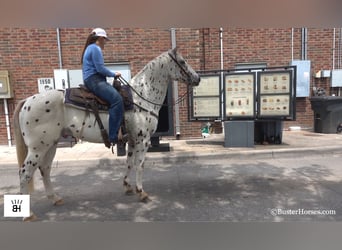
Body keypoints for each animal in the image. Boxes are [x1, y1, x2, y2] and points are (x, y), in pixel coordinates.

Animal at [12, 47, 200, 220]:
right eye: (182, 62)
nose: (197, 78)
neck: (141, 96)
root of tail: (27, 101)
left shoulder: (132, 140)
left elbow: (129, 163)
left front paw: (127, 187)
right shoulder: (143, 140)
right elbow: (140, 165)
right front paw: (141, 192)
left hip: (51, 144)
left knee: (45, 169)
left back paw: (55, 198)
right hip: (38, 148)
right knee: (25, 173)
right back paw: (28, 214)